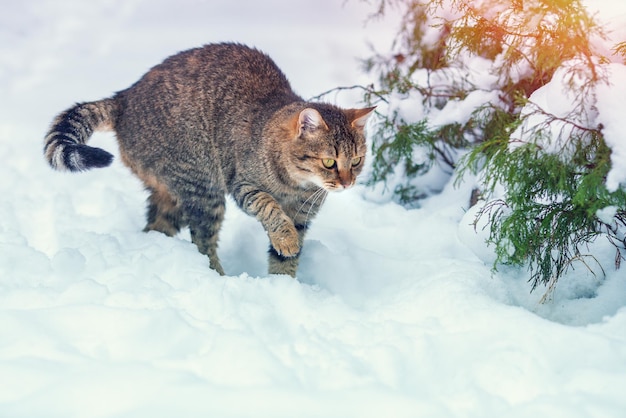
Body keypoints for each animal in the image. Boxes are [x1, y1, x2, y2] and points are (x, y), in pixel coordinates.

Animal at [46, 42, 376, 278]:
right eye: (330, 163)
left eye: (357, 161)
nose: (347, 183)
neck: (297, 186)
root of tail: (123, 98)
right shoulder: (243, 186)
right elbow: (269, 209)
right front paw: (286, 240)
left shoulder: (302, 215)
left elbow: (285, 261)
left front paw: (285, 289)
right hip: (204, 187)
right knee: (202, 241)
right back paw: (218, 278)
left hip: (174, 195)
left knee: (156, 227)